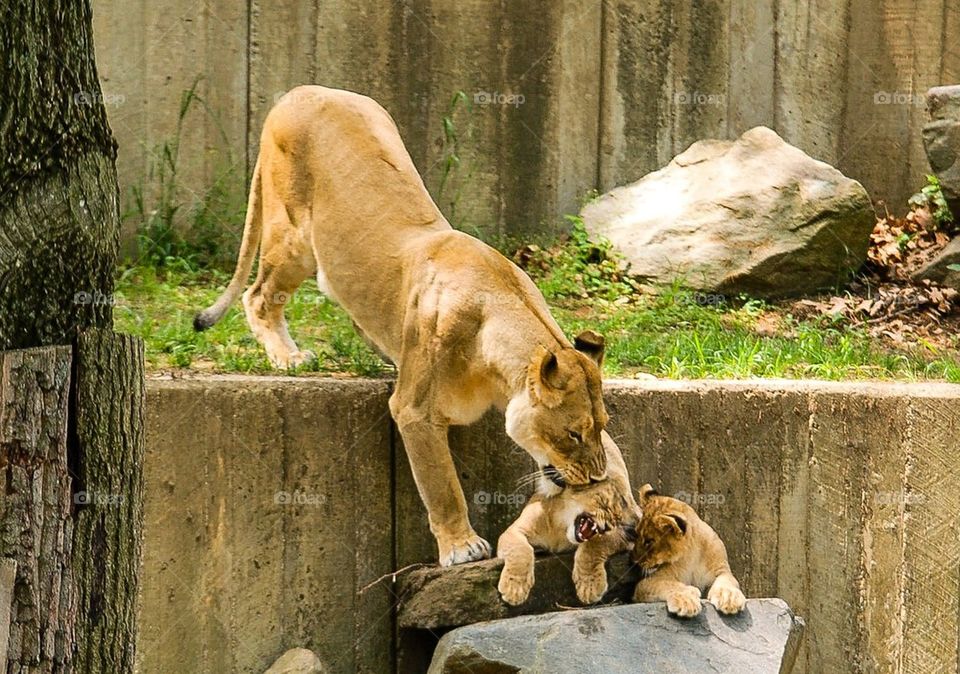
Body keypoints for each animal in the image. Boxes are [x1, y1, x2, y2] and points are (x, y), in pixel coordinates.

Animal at [193, 86, 611, 566]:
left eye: (602, 426)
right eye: (573, 433)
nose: (596, 478)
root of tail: (303, 90)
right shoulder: (414, 409)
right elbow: (441, 484)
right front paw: (462, 547)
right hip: (293, 236)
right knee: (259, 294)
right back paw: (289, 357)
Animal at [497, 434, 639, 606]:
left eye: (617, 518)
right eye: (605, 504)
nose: (611, 523)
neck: (561, 525)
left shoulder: (622, 534)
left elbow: (594, 546)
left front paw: (590, 586)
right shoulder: (515, 530)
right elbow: (519, 550)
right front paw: (514, 589)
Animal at [631, 484, 746, 617]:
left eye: (648, 541)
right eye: (636, 535)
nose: (634, 561)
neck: (692, 553)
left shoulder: (721, 569)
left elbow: (727, 581)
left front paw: (729, 598)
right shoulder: (645, 584)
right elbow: (669, 584)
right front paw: (686, 600)